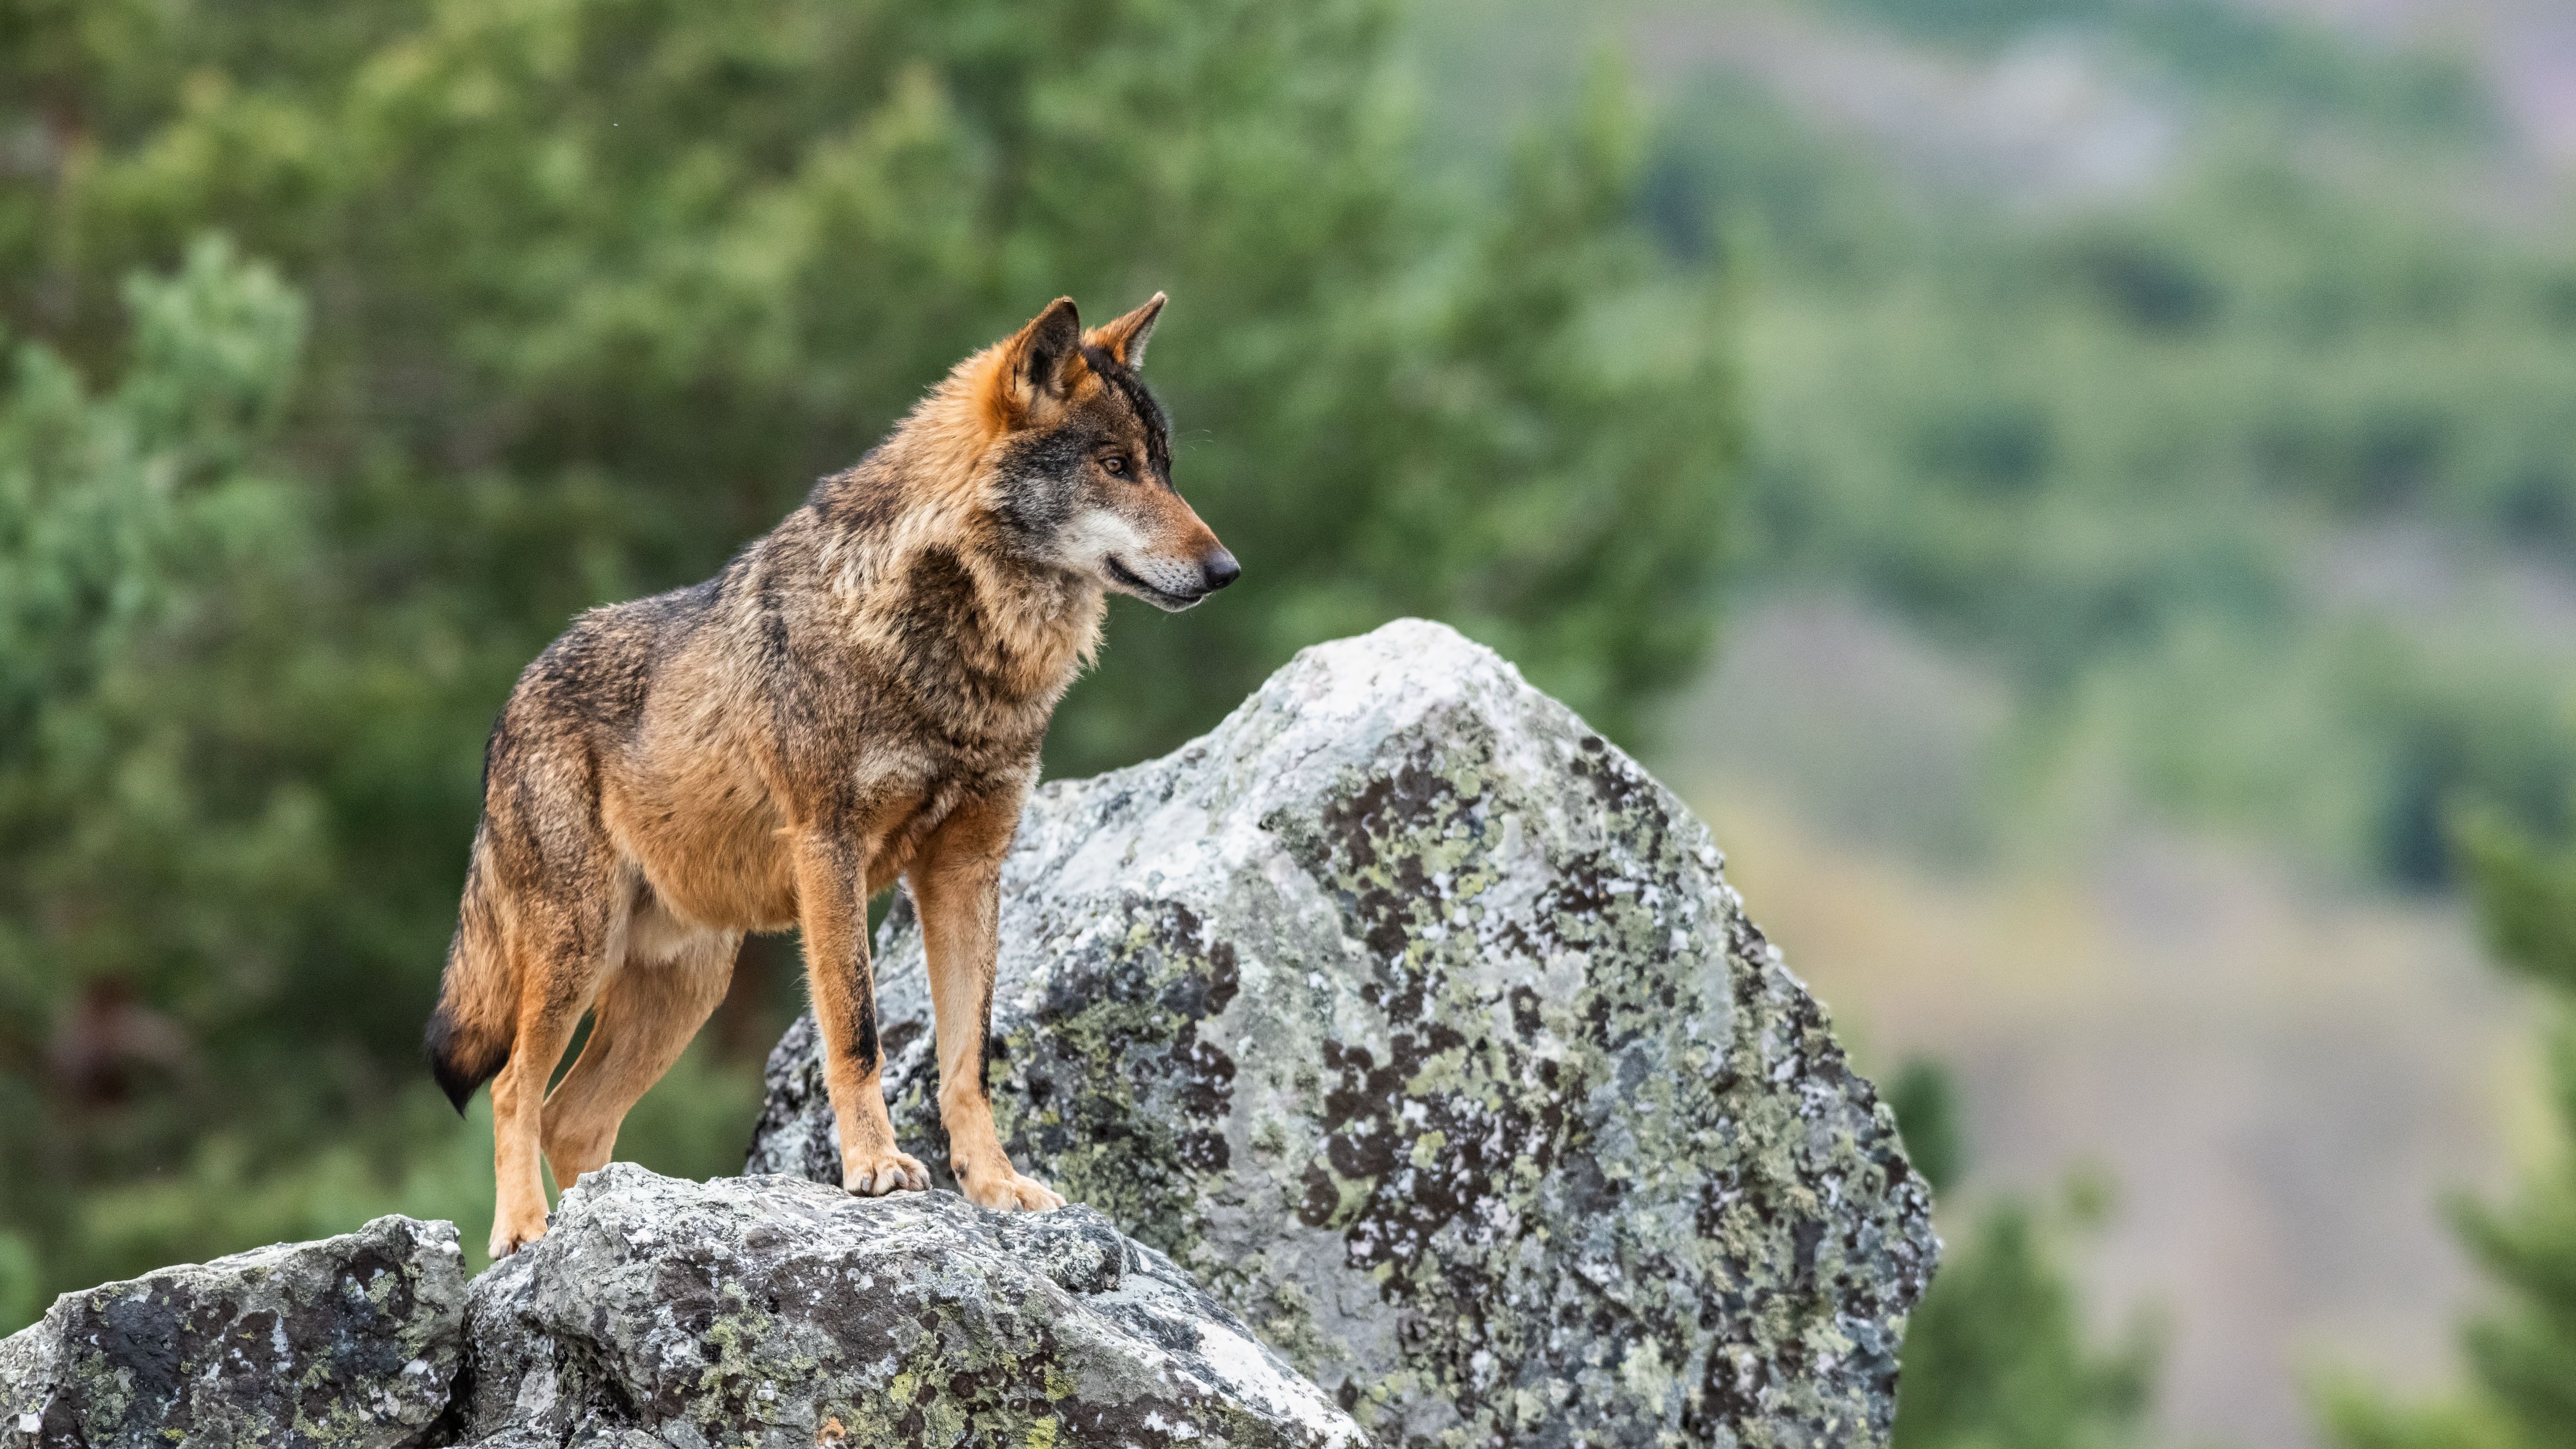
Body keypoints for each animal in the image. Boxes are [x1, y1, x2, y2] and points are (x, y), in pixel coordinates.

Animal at [420, 297, 1236, 1261]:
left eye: (1165, 467)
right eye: (1115, 466)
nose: (1227, 570)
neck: (961, 652)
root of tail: (512, 700)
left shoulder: (967, 870)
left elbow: (969, 1058)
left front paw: (994, 1185)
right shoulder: (829, 849)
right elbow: (858, 1032)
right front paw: (875, 1167)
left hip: (688, 987)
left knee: (570, 1117)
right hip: (577, 951)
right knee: (516, 1087)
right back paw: (525, 1231)